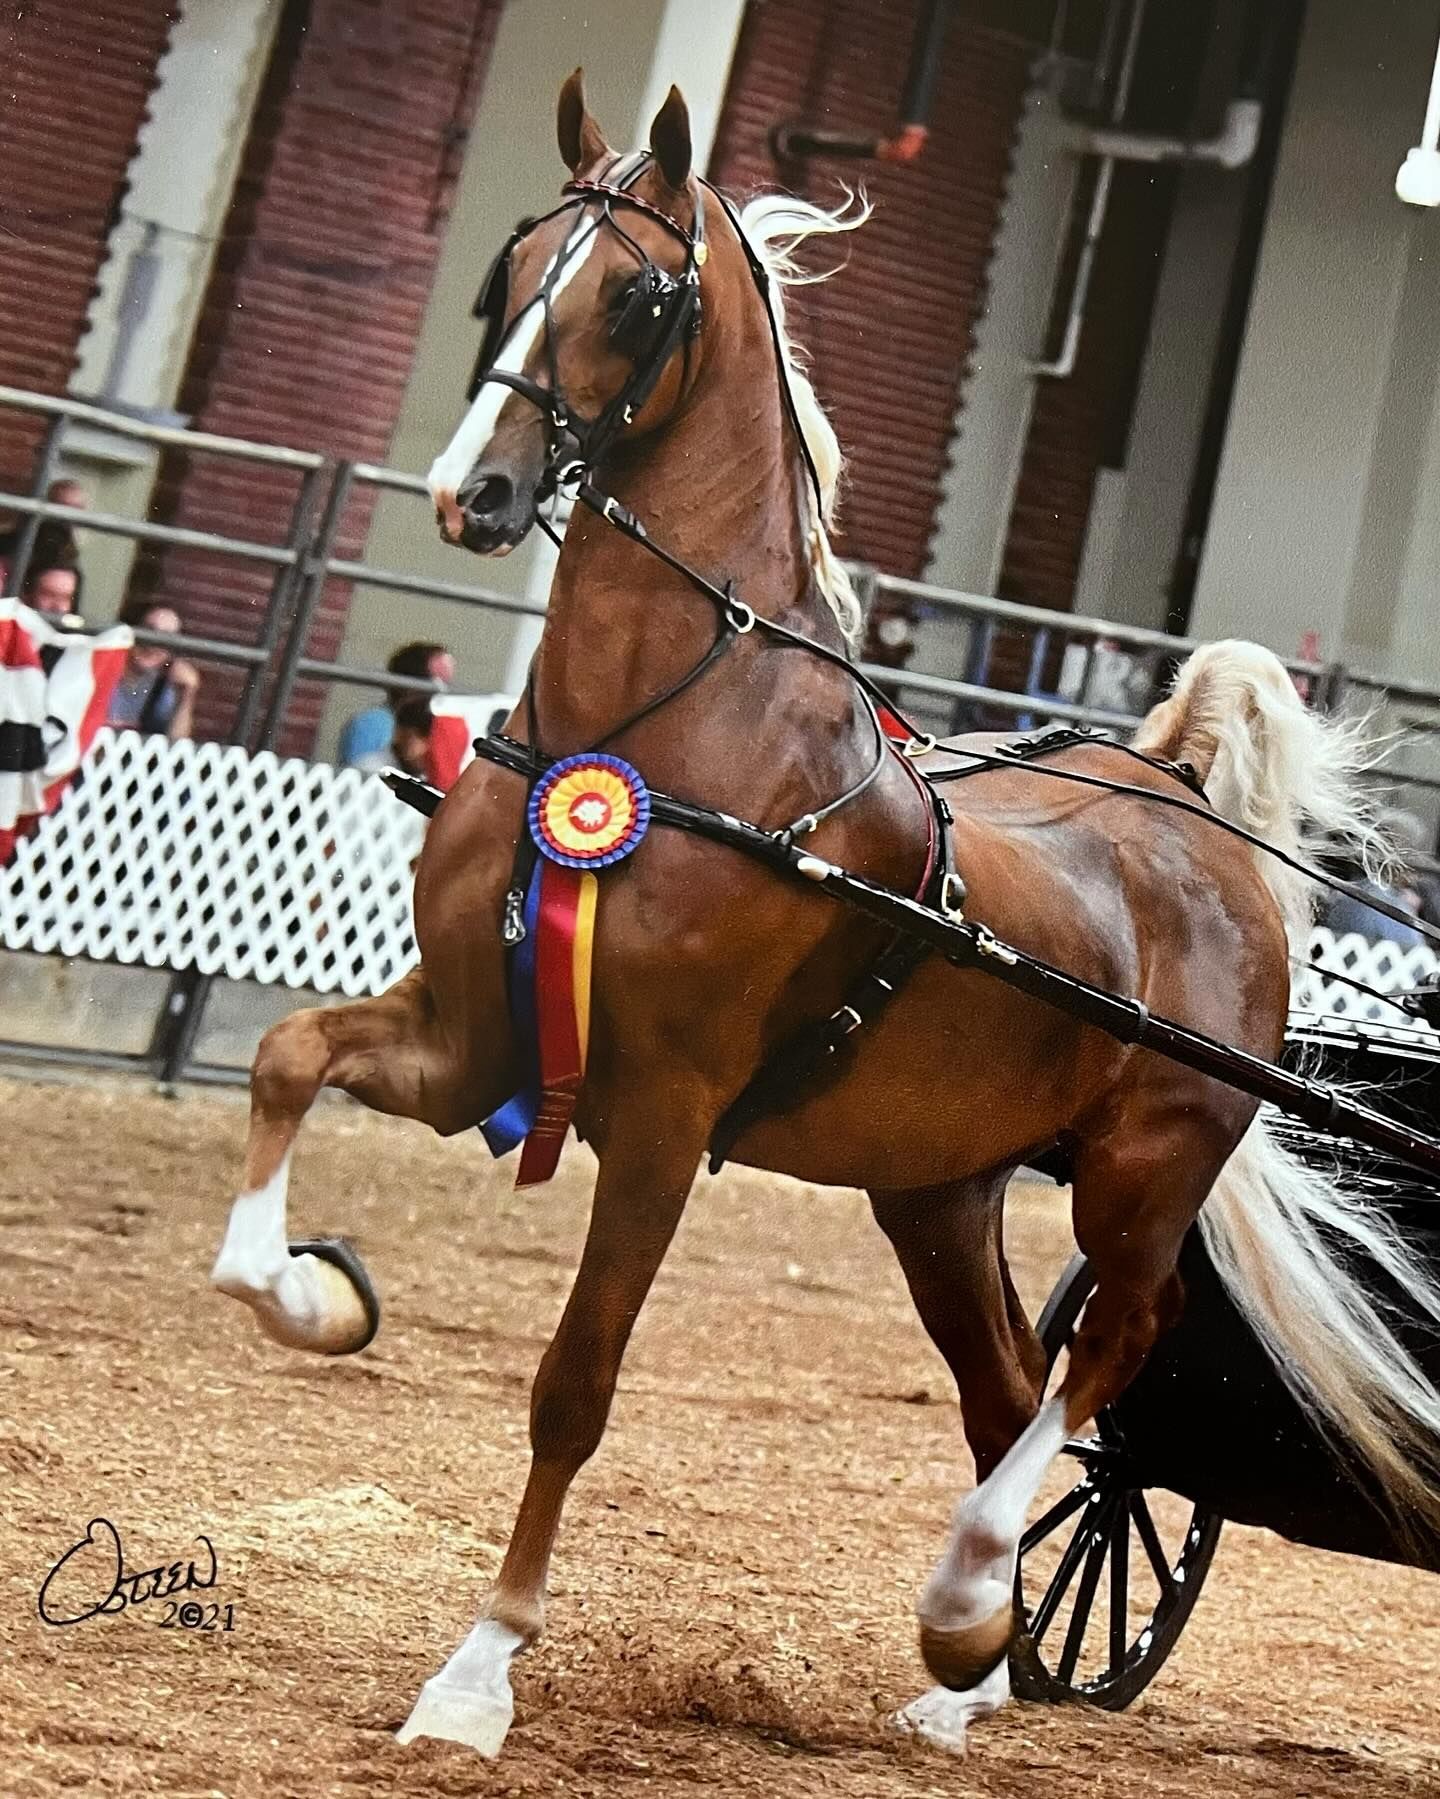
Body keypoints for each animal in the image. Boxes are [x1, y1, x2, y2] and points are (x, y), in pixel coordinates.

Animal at [210, 72, 1440, 1760]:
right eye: (511, 263)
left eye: (638, 295)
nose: (473, 493)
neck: (671, 732)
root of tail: (1188, 809)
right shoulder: (477, 1041)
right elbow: (283, 1056)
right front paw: (309, 1290)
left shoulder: (663, 1115)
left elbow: (575, 1379)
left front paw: (477, 1673)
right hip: (938, 1187)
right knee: (1014, 1388)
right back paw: (967, 1669)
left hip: (1144, 1164)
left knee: (1118, 1346)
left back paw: (967, 1593)